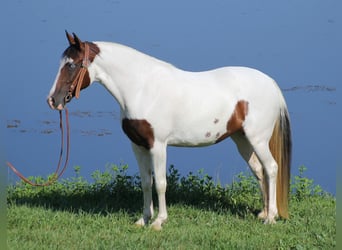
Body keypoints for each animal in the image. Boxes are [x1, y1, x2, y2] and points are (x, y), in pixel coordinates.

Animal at [47, 31, 292, 230]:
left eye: (71, 65)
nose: (53, 100)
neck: (141, 89)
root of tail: (271, 83)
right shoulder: (138, 146)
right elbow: (146, 182)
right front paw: (143, 219)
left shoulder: (158, 146)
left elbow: (161, 183)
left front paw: (159, 221)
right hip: (242, 139)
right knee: (258, 170)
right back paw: (263, 213)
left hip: (257, 139)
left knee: (271, 168)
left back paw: (271, 218)